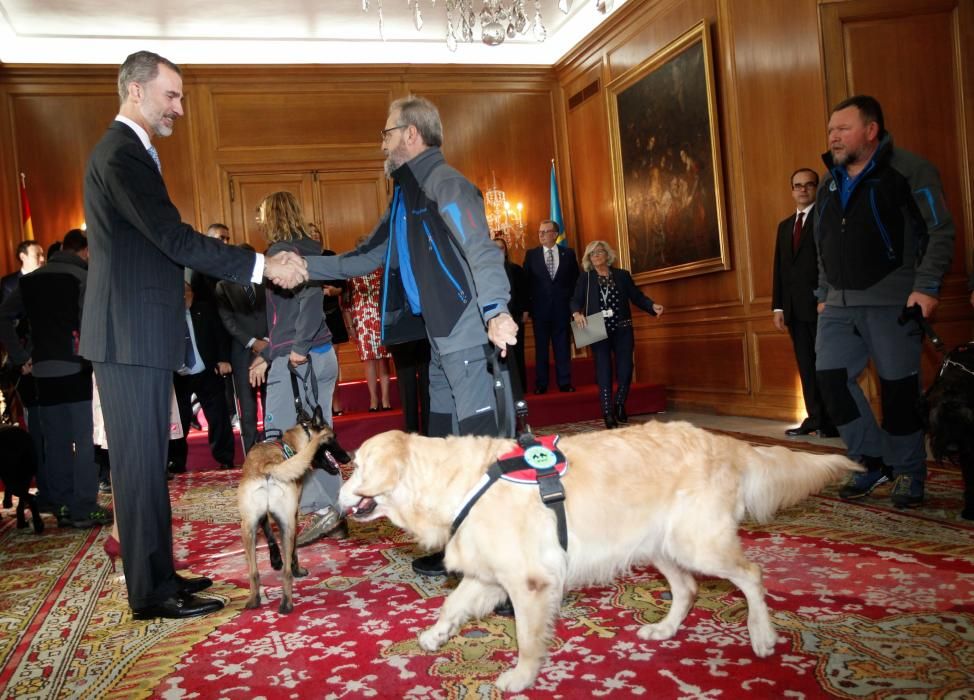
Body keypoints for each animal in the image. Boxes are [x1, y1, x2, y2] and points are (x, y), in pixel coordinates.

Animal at [239, 416, 352, 612]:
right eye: (332, 438)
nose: (348, 457)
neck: (290, 442)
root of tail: (267, 465)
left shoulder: (262, 518)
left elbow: (268, 531)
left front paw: (275, 559)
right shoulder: (293, 516)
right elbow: (293, 553)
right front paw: (296, 569)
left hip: (247, 529)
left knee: (253, 572)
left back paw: (254, 600)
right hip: (288, 526)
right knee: (287, 572)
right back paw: (287, 603)